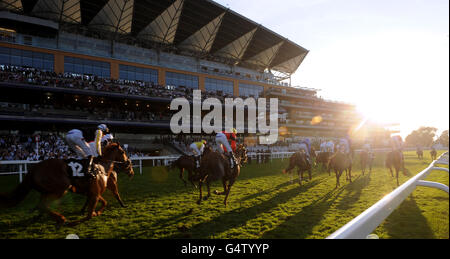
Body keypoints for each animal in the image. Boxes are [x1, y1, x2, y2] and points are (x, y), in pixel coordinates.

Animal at [0, 143, 133, 226]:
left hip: (47, 191)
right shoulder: (95, 194)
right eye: (122, 151)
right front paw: (87, 215)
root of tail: (34, 168)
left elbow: (103, 203)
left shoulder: (93, 193)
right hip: (60, 189)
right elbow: (91, 213)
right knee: (43, 205)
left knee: (41, 205)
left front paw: (94, 212)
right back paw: (60, 219)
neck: (102, 168)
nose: (128, 163)